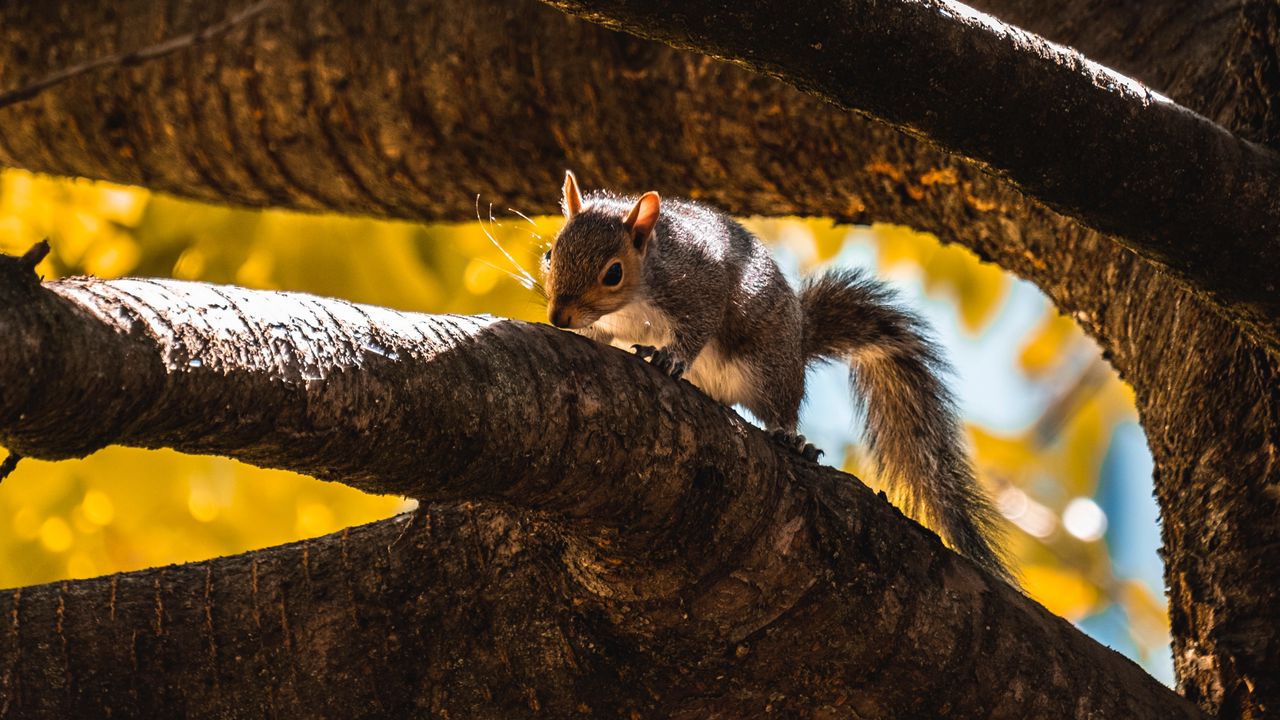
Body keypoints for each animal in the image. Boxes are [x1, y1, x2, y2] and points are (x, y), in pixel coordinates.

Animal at [540, 170, 1008, 579]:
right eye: (550, 255)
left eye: (613, 273)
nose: (558, 317)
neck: (637, 293)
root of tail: (799, 342)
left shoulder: (699, 287)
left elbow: (697, 329)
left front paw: (670, 358)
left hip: (771, 369)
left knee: (782, 406)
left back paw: (790, 436)